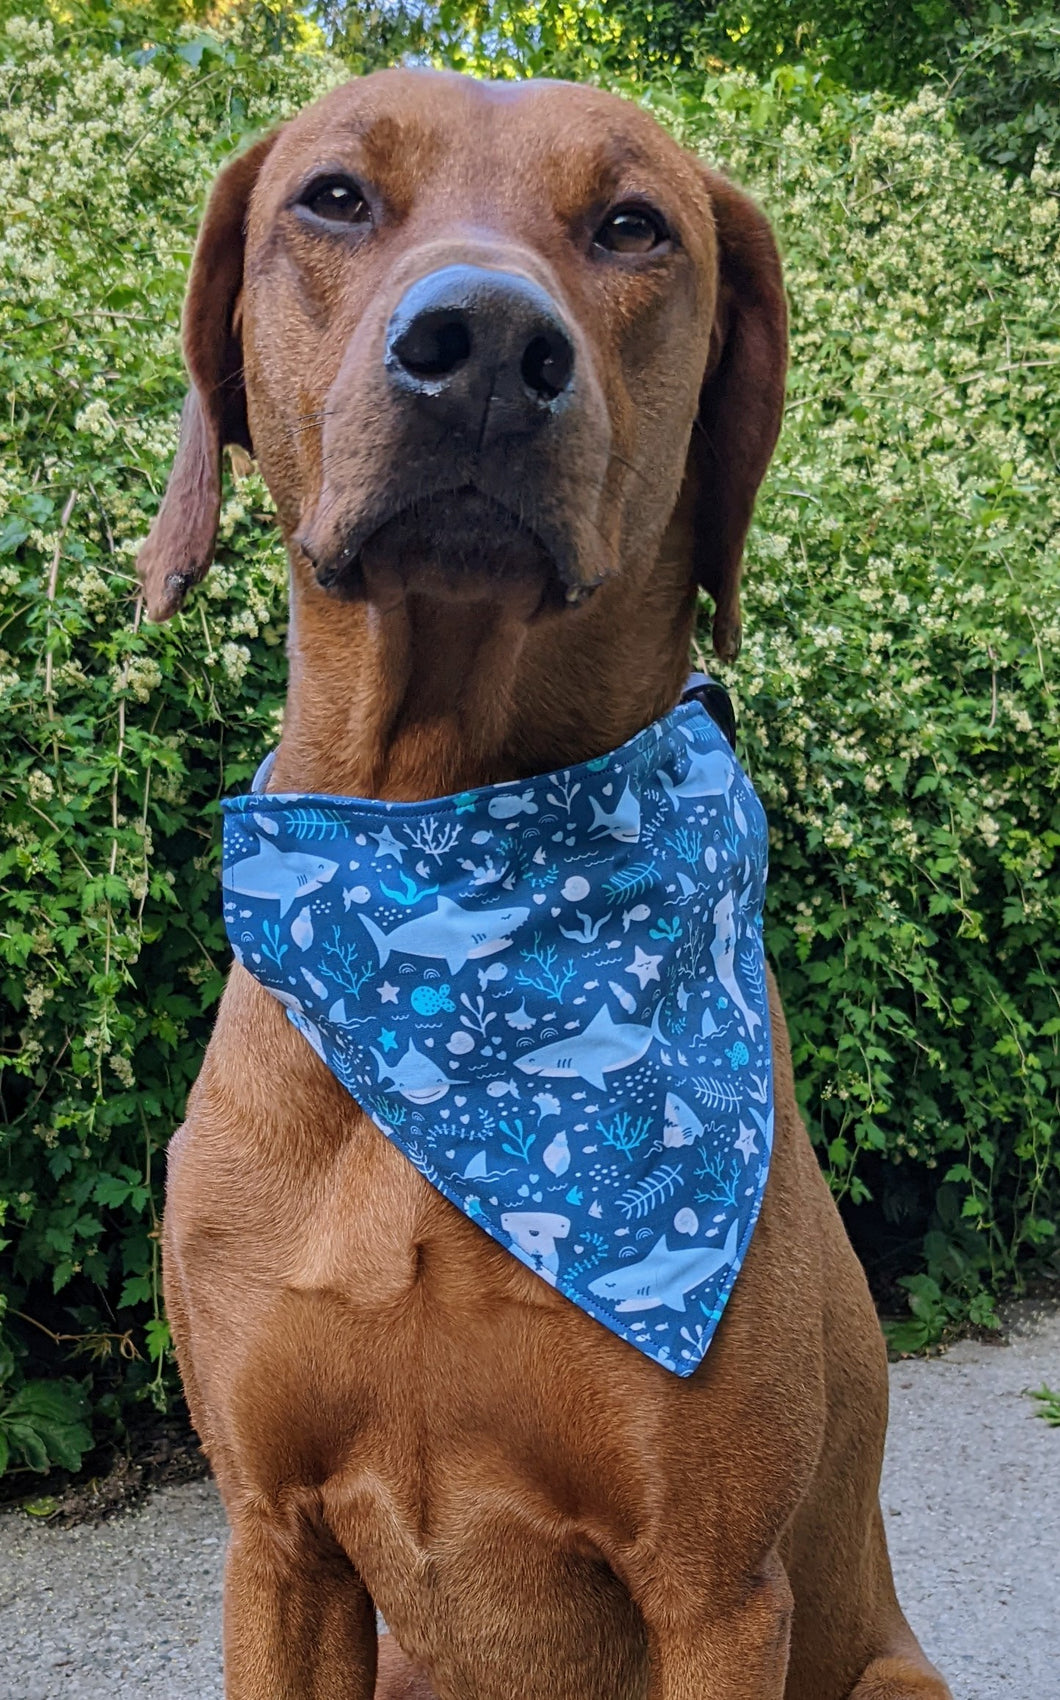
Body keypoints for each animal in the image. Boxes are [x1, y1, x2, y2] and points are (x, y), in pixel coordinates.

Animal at [138, 69, 951, 1700]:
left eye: (632, 225)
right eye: (333, 197)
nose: (487, 349)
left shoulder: (716, 1588)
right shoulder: (275, 1544)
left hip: (897, 1673)